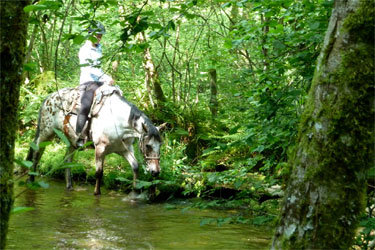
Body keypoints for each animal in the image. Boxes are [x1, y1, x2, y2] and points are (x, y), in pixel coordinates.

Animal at [25, 83, 163, 194]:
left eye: (160, 145)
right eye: (148, 145)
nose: (156, 172)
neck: (117, 120)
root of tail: (48, 99)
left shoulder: (124, 149)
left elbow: (135, 167)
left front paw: (134, 193)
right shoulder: (100, 149)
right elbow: (99, 173)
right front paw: (97, 193)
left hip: (71, 142)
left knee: (67, 160)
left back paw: (69, 186)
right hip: (46, 133)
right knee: (36, 153)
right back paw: (31, 180)